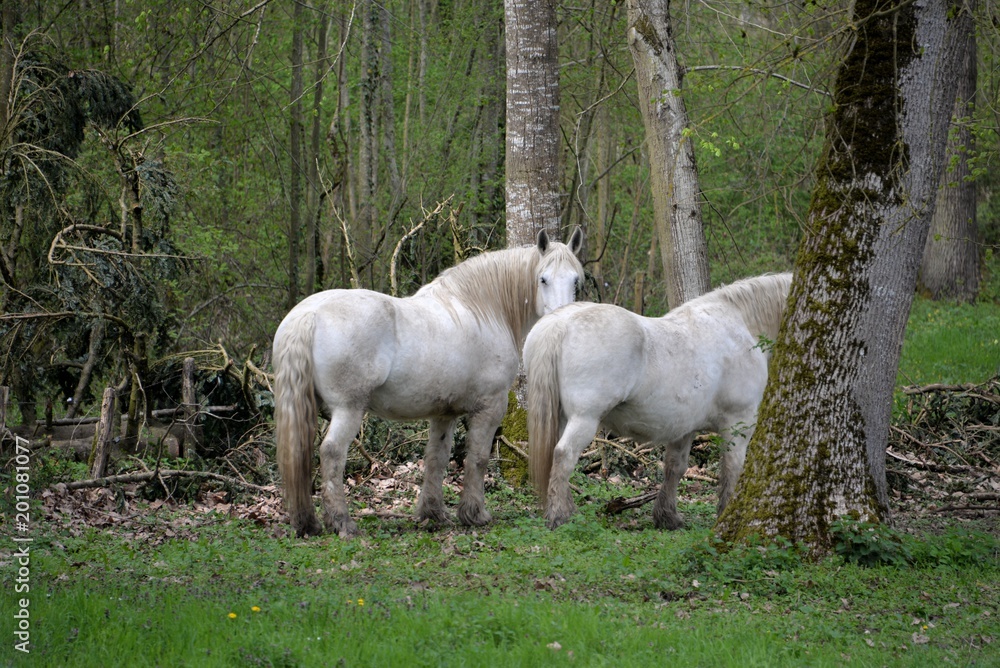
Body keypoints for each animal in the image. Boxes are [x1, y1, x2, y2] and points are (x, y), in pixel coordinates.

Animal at [273, 228, 585, 537]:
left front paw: (433, 513)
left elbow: (437, 458)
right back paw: (343, 523)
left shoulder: (444, 413)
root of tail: (310, 314)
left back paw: (308, 522)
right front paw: (475, 514)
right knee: (332, 453)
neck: (482, 310)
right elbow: (478, 459)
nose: (562, 317)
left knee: (299, 453)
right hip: (348, 409)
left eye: (576, 279)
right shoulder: (490, 407)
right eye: (542, 279)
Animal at [525, 273, 792, 530]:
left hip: (560, 416)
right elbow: (732, 470)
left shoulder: (684, 428)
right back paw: (560, 516)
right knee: (564, 455)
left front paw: (667, 517)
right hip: (584, 419)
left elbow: (675, 468)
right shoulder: (738, 425)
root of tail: (560, 323)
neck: (741, 327)